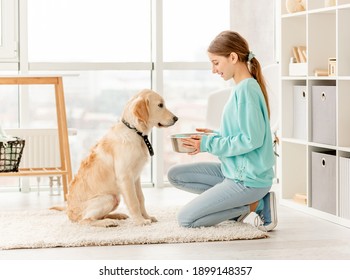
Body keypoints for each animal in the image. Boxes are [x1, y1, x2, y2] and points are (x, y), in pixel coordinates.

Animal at [57, 89, 179, 228]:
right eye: (160, 105)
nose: (176, 118)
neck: (135, 131)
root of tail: (69, 213)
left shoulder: (136, 178)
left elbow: (141, 199)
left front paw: (147, 217)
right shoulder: (125, 177)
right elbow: (134, 201)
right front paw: (140, 221)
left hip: (115, 198)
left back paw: (117, 216)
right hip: (108, 197)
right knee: (86, 220)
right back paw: (108, 222)